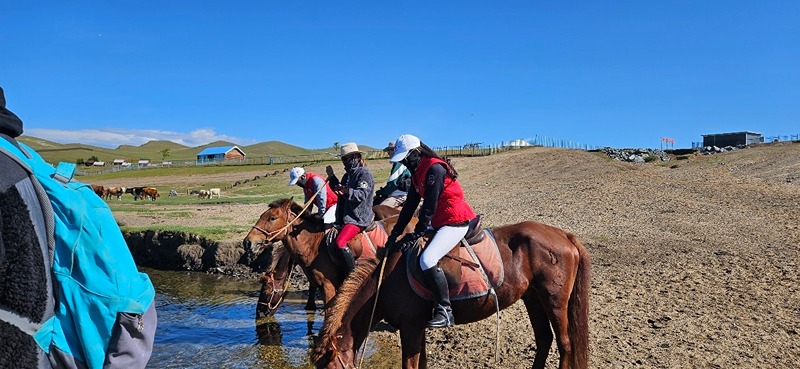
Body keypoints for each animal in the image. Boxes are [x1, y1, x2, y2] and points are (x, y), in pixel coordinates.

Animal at [316, 220, 592, 366]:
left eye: (328, 368)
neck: (386, 280)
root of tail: (563, 235)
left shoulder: (410, 327)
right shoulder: (416, 327)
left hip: (554, 300)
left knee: (565, 345)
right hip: (533, 298)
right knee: (544, 339)